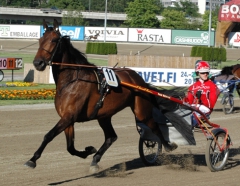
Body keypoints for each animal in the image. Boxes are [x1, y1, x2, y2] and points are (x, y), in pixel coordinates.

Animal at [24, 19, 193, 173]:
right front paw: (89, 151)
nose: (38, 63)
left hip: (141, 110)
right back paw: (95, 159)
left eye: (53, 40)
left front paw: (32, 160)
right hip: (104, 115)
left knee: (154, 127)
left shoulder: (69, 117)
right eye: (40, 40)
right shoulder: (68, 118)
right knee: (111, 137)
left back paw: (168, 146)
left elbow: (49, 135)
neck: (72, 80)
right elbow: (70, 147)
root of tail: (138, 79)